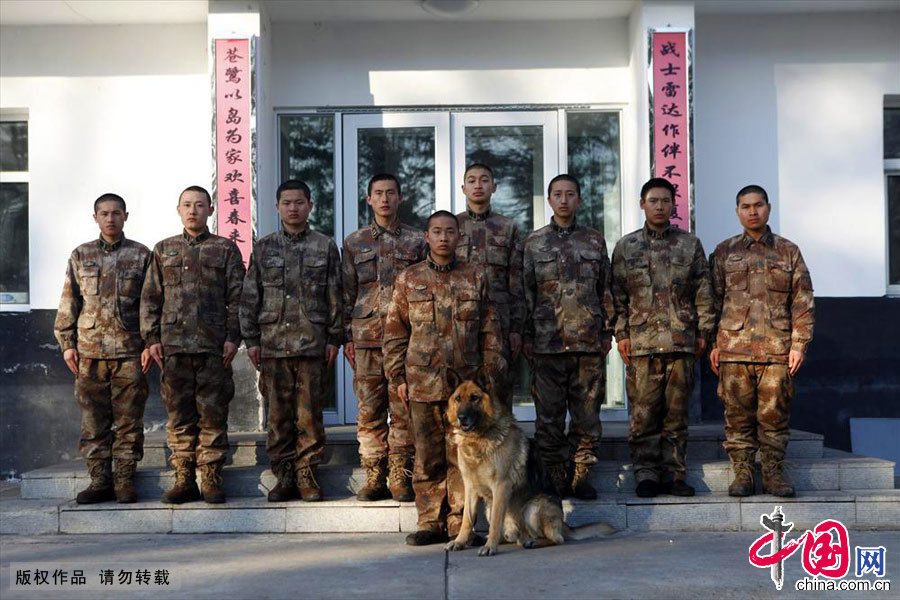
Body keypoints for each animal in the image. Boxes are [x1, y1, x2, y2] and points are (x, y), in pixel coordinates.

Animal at [444, 370, 616, 556]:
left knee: (555, 539)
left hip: (532, 508)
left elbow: (496, 522)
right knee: (512, 534)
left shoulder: (501, 486)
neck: (478, 439)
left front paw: (490, 547)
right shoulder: (470, 488)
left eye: (474, 398)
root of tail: (563, 523)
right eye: (458, 399)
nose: (462, 418)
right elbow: (467, 520)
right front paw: (460, 541)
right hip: (492, 509)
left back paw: (531, 542)